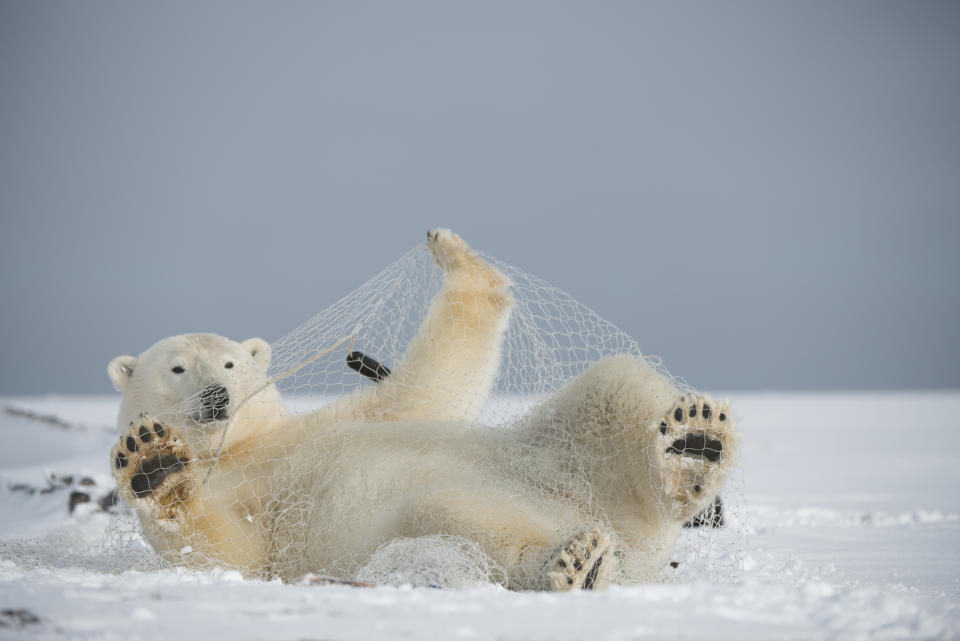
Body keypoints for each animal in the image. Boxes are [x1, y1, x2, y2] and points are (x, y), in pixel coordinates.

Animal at [107, 229, 736, 592]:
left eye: (231, 363)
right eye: (177, 368)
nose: (218, 394)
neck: (243, 448)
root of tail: (637, 555)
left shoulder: (345, 421)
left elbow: (428, 386)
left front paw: (454, 253)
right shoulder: (242, 503)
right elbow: (233, 554)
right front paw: (154, 464)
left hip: (567, 457)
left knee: (616, 382)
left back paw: (693, 445)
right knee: (456, 517)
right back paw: (576, 563)